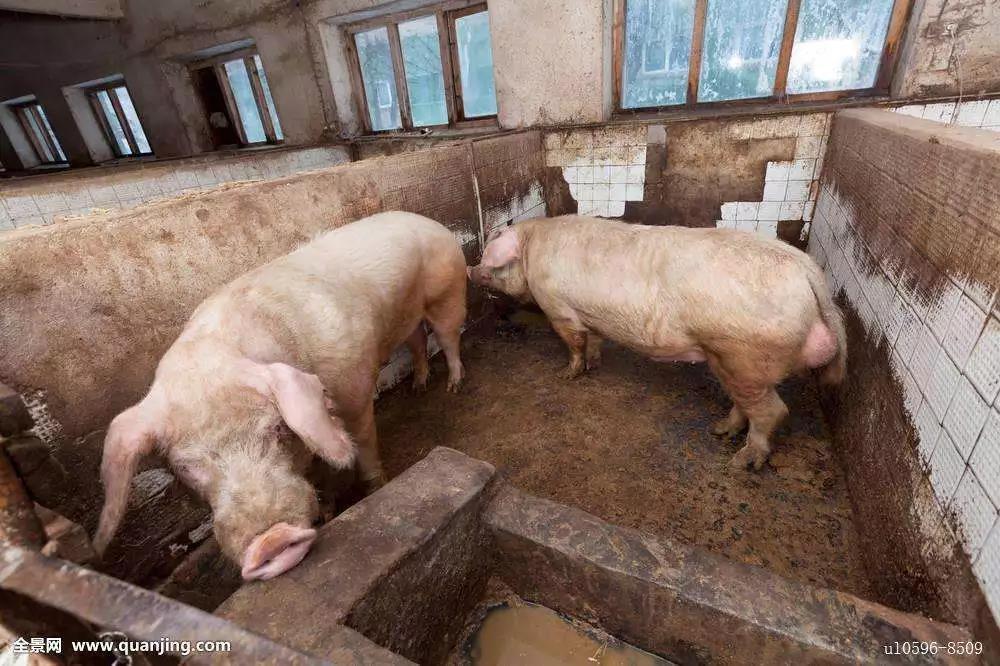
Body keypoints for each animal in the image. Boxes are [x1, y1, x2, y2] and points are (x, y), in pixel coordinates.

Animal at [95, 211, 466, 576]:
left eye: (275, 428)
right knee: (417, 338)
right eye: (185, 466)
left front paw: (377, 489)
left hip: (448, 292)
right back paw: (418, 387)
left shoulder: (356, 392)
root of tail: (426, 220)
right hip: (408, 317)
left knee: (447, 337)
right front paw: (328, 512)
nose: (271, 540)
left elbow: (363, 448)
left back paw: (453, 385)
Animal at [468, 215, 844, 470]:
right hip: (733, 363)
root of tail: (808, 270)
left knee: (773, 411)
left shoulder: (557, 308)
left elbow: (574, 342)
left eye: (488, 255)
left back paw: (742, 462)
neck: (531, 246)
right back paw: (720, 431)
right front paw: (594, 364)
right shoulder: (590, 314)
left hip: (744, 354)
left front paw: (567, 374)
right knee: (747, 404)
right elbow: (594, 339)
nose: (470, 270)